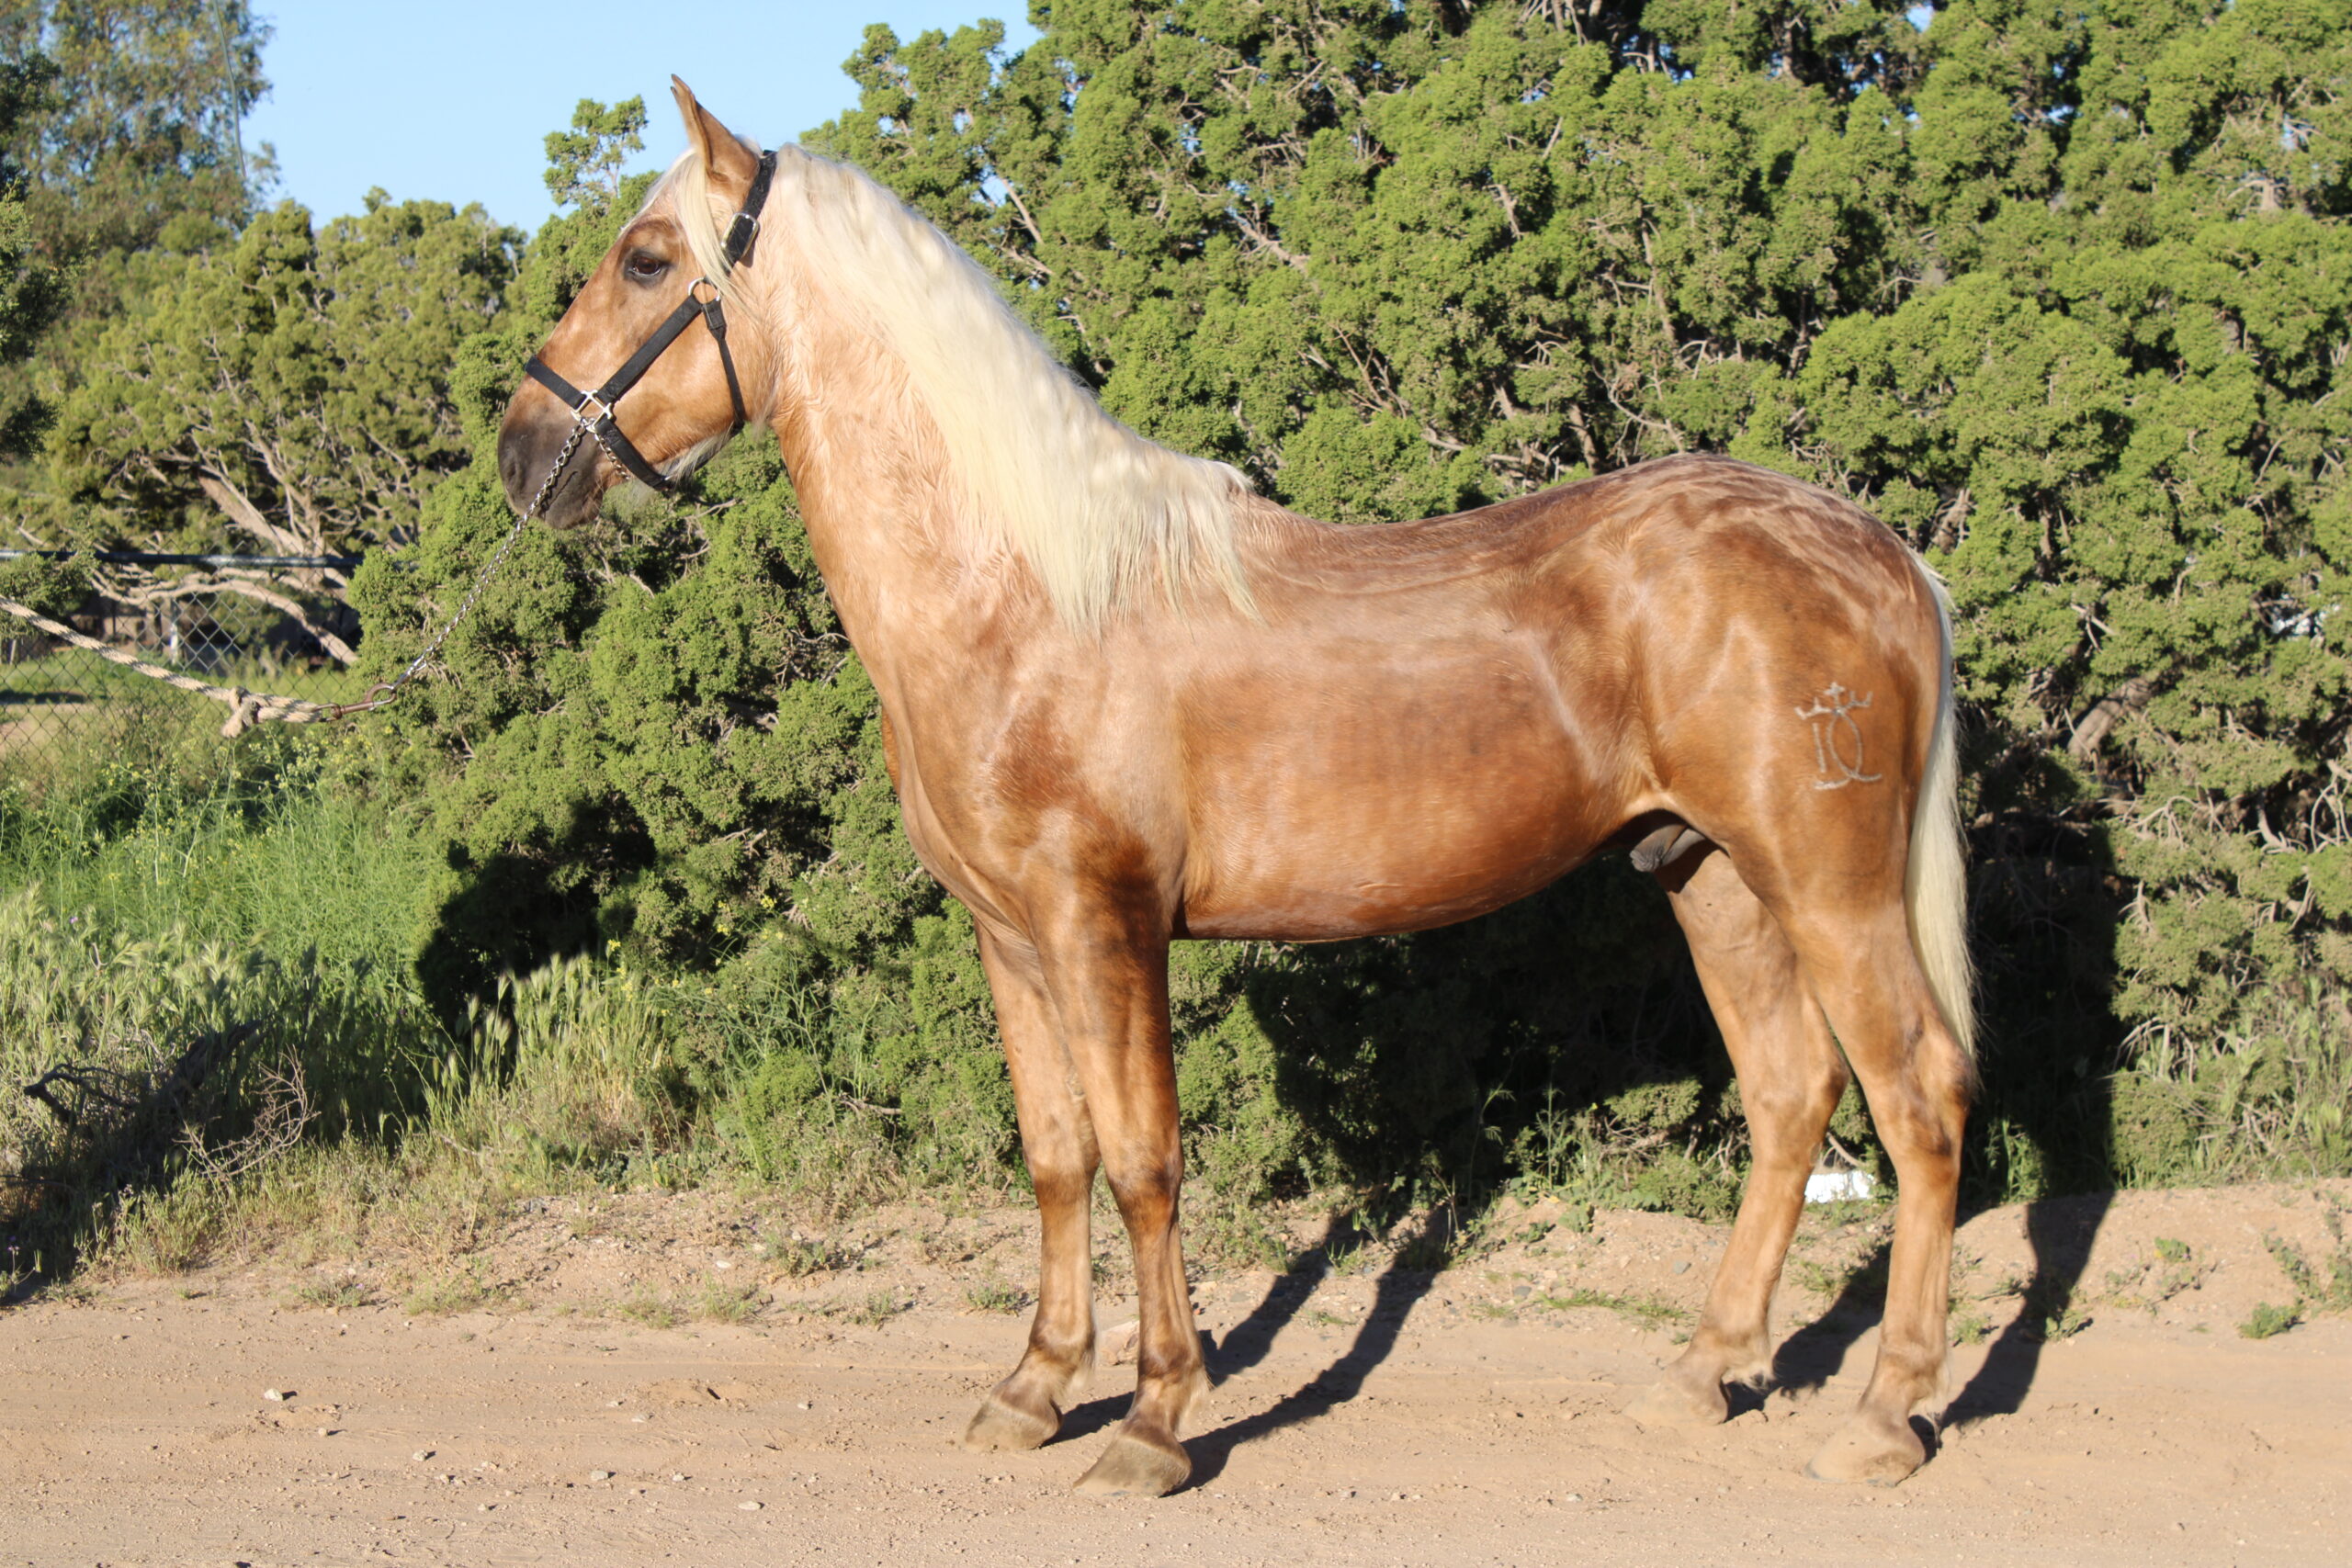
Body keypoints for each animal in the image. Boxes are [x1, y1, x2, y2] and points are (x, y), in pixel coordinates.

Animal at [497, 79, 1976, 1497]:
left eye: (644, 258)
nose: (521, 452)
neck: (1025, 594)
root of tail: (1883, 555)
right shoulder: (1010, 937)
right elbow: (1056, 1155)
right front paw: (1033, 1390)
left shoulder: (1104, 924)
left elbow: (1145, 1160)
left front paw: (1153, 1422)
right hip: (1710, 874)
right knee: (1790, 1096)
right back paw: (1702, 1373)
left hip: (1827, 885)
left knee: (1920, 1096)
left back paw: (1884, 1416)